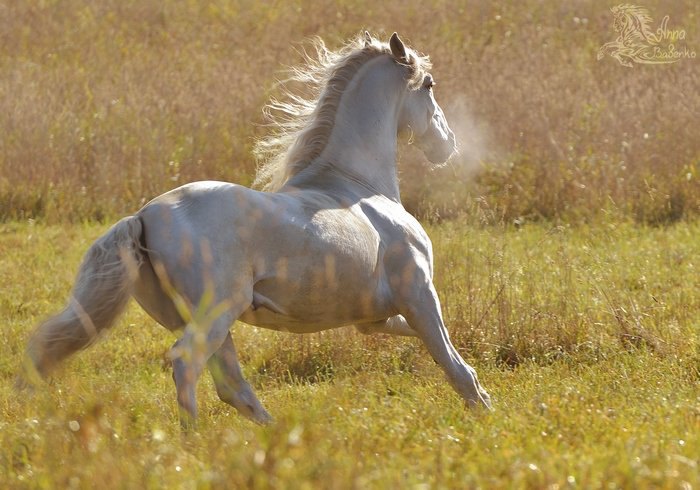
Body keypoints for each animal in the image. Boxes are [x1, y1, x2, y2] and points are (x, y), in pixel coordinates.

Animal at [21, 31, 492, 428]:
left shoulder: (374, 316)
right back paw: (190, 445)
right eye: (428, 84)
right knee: (187, 364)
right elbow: (451, 360)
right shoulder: (419, 293)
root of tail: (143, 217)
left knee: (231, 385)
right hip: (216, 311)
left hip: (201, 319)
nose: (447, 145)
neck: (357, 188)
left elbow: (427, 340)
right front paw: (485, 409)